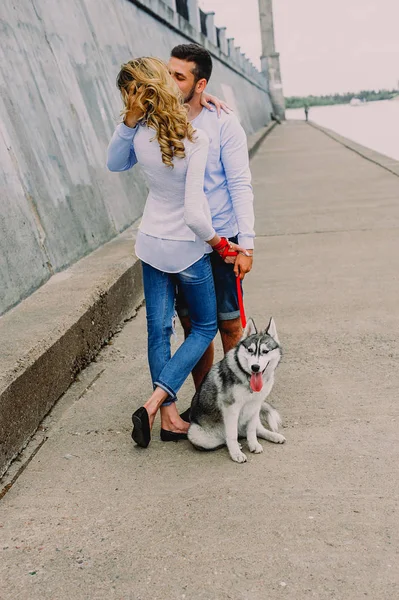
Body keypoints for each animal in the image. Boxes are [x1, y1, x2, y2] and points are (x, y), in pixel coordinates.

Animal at [188, 318, 286, 464]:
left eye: (265, 351)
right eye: (250, 350)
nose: (255, 367)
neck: (248, 379)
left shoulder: (255, 406)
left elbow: (251, 430)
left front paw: (253, 444)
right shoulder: (231, 409)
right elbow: (232, 435)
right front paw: (236, 453)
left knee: (257, 430)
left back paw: (274, 436)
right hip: (196, 434)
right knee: (226, 438)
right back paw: (236, 445)